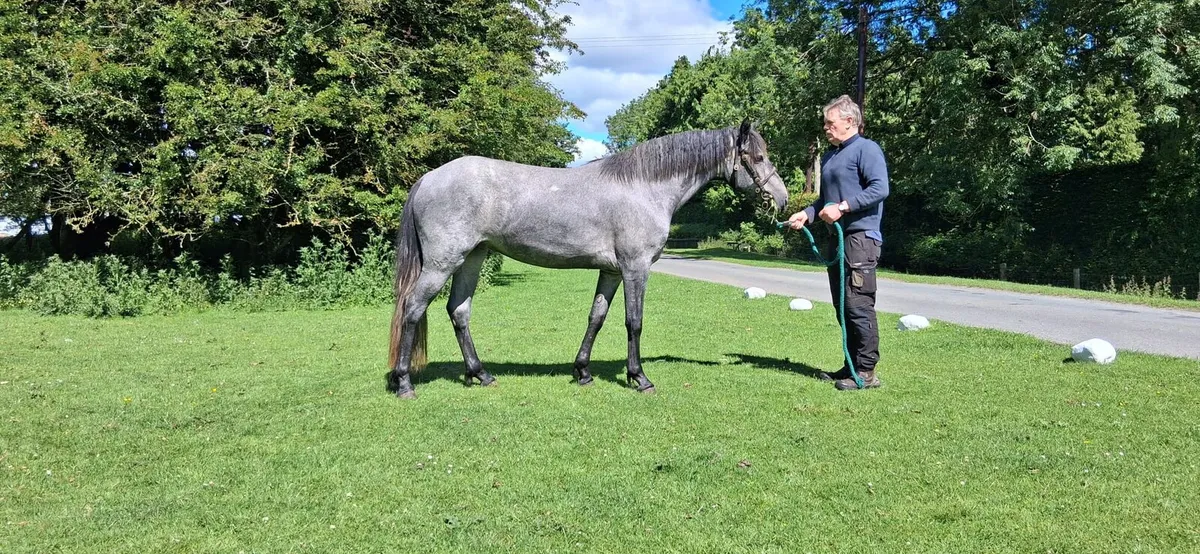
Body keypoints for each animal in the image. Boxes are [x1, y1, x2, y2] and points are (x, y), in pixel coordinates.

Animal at [387, 120, 788, 398]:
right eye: (758, 157)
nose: (783, 200)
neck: (643, 187)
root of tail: (428, 179)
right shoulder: (635, 268)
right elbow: (633, 322)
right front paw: (639, 378)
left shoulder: (611, 271)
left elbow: (597, 318)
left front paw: (582, 371)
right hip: (442, 263)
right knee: (413, 308)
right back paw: (404, 383)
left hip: (472, 258)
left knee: (459, 311)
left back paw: (480, 374)